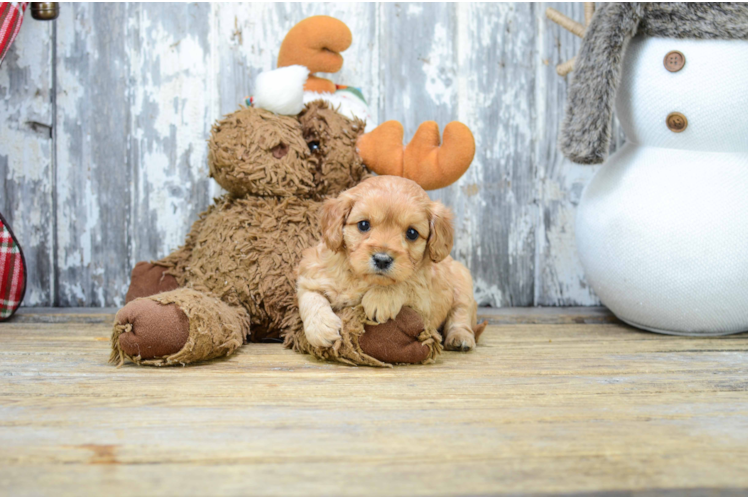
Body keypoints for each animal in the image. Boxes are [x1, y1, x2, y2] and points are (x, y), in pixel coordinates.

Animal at [298, 176, 486, 352]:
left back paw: (460, 338)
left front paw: (380, 298)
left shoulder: (426, 302)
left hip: (463, 283)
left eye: (412, 233)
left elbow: (408, 283)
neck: (360, 279)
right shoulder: (312, 275)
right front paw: (321, 328)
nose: (382, 259)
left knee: (461, 314)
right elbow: (310, 297)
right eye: (363, 224)